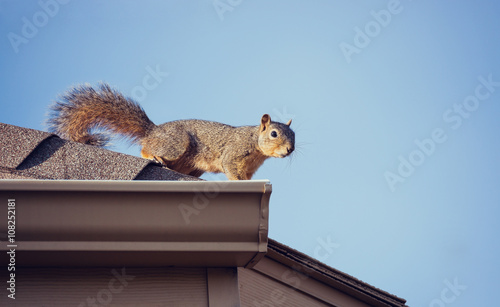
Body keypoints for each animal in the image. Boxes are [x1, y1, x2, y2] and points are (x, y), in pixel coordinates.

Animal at [46, 84, 292, 180]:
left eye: (295, 136)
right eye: (274, 134)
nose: (290, 149)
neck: (256, 144)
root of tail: (153, 131)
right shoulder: (234, 153)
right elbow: (230, 168)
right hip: (176, 145)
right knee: (146, 149)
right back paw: (153, 156)